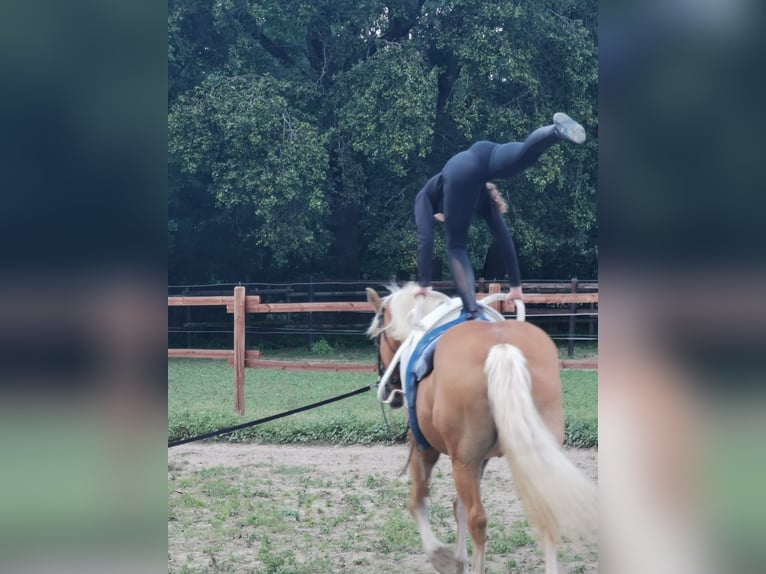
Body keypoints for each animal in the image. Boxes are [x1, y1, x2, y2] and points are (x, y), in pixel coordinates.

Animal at [368, 284, 600, 574]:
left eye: (377, 336)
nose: (389, 388)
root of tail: (501, 347)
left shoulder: (425, 446)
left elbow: (418, 502)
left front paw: (442, 557)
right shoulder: (480, 460)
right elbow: (458, 506)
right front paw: (459, 561)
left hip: (462, 461)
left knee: (477, 519)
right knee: (542, 511)